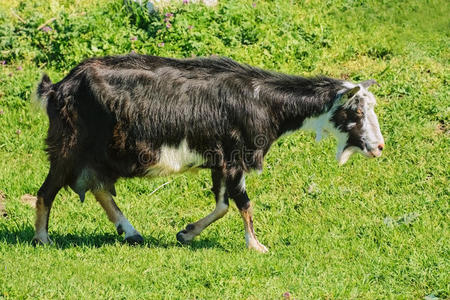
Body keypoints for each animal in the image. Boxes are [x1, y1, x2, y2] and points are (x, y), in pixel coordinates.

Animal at [34, 54, 384, 251]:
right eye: (356, 111)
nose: (379, 147)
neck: (265, 102)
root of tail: (58, 88)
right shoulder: (235, 158)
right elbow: (242, 203)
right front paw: (256, 246)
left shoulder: (221, 162)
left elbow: (223, 205)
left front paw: (186, 233)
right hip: (68, 147)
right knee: (47, 191)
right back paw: (42, 239)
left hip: (99, 155)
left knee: (99, 187)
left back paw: (131, 233)